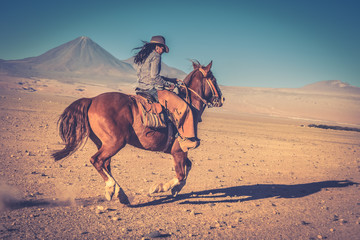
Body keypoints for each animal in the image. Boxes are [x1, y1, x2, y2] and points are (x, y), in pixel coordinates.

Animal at [51, 60, 224, 204]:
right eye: (214, 80)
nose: (222, 99)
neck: (189, 105)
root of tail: (92, 100)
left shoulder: (178, 151)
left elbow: (188, 168)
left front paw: (174, 189)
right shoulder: (179, 150)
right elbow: (181, 175)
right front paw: (158, 188)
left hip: (104, 143)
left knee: (106, 164)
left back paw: (120, 194)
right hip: (115, 142)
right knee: (97, 160)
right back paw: (112, 189)